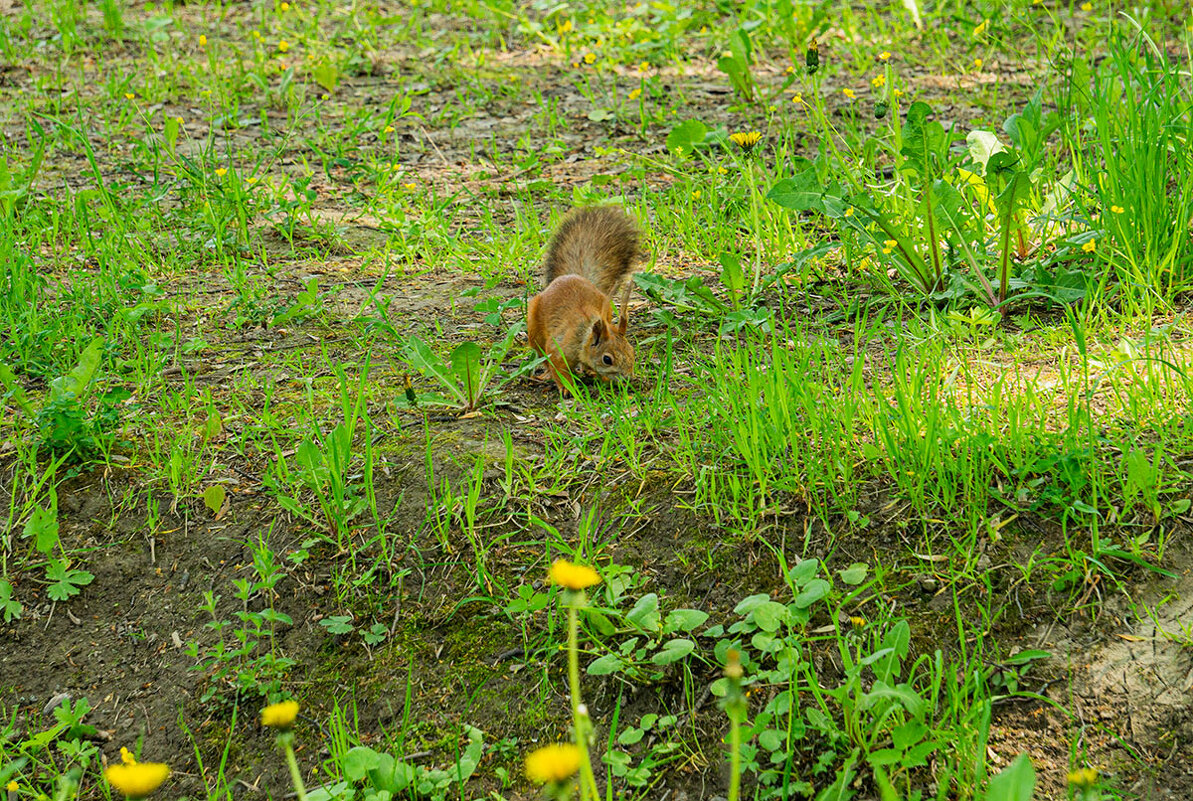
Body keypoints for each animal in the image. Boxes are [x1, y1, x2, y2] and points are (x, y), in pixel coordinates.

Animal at [529, 206, 644, 393]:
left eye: (632, 351)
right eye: (607, 359)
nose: (628, 379)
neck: (584, 335)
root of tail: (571, 275)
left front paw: (603, 378)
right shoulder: (559, 349)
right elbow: (559, 369)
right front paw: (568, 388)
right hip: (534, 328)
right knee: (541, 355)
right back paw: (546, 373)